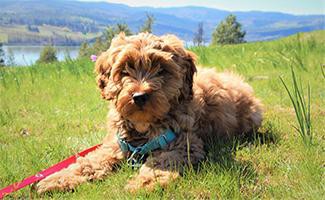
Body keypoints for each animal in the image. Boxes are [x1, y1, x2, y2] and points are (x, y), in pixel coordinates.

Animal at [36, 32, 262, 194]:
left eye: (161, 69)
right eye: (125, 70)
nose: (139, 96)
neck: (143, 127)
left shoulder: (184, 143)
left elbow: (162, 162)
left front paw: (143, 182)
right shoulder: (115, 144)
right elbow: (90, 162)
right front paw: (57, 179)